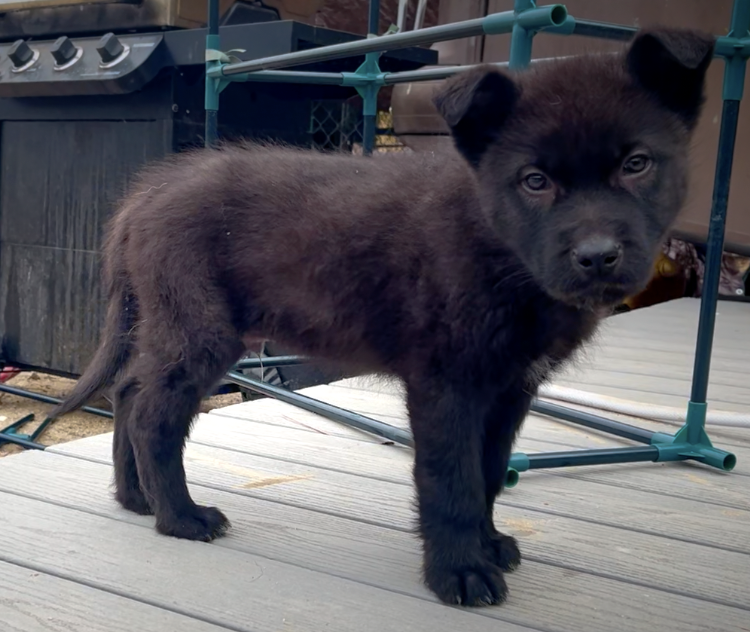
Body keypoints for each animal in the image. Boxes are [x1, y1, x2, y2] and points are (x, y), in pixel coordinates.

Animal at [54, 25, 716, 608]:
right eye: (534, 181)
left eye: (636, 165)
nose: (597, 256)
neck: (500, 249)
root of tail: (146, 194)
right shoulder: (447, 381)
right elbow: (451, 479)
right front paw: (460, 572)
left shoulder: (509, 387)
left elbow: (489, 471)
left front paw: (487, 544)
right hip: (201, 329)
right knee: (153, 414)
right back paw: (181, 517)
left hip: (170, 323)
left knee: (130, 391)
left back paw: (135, 499)